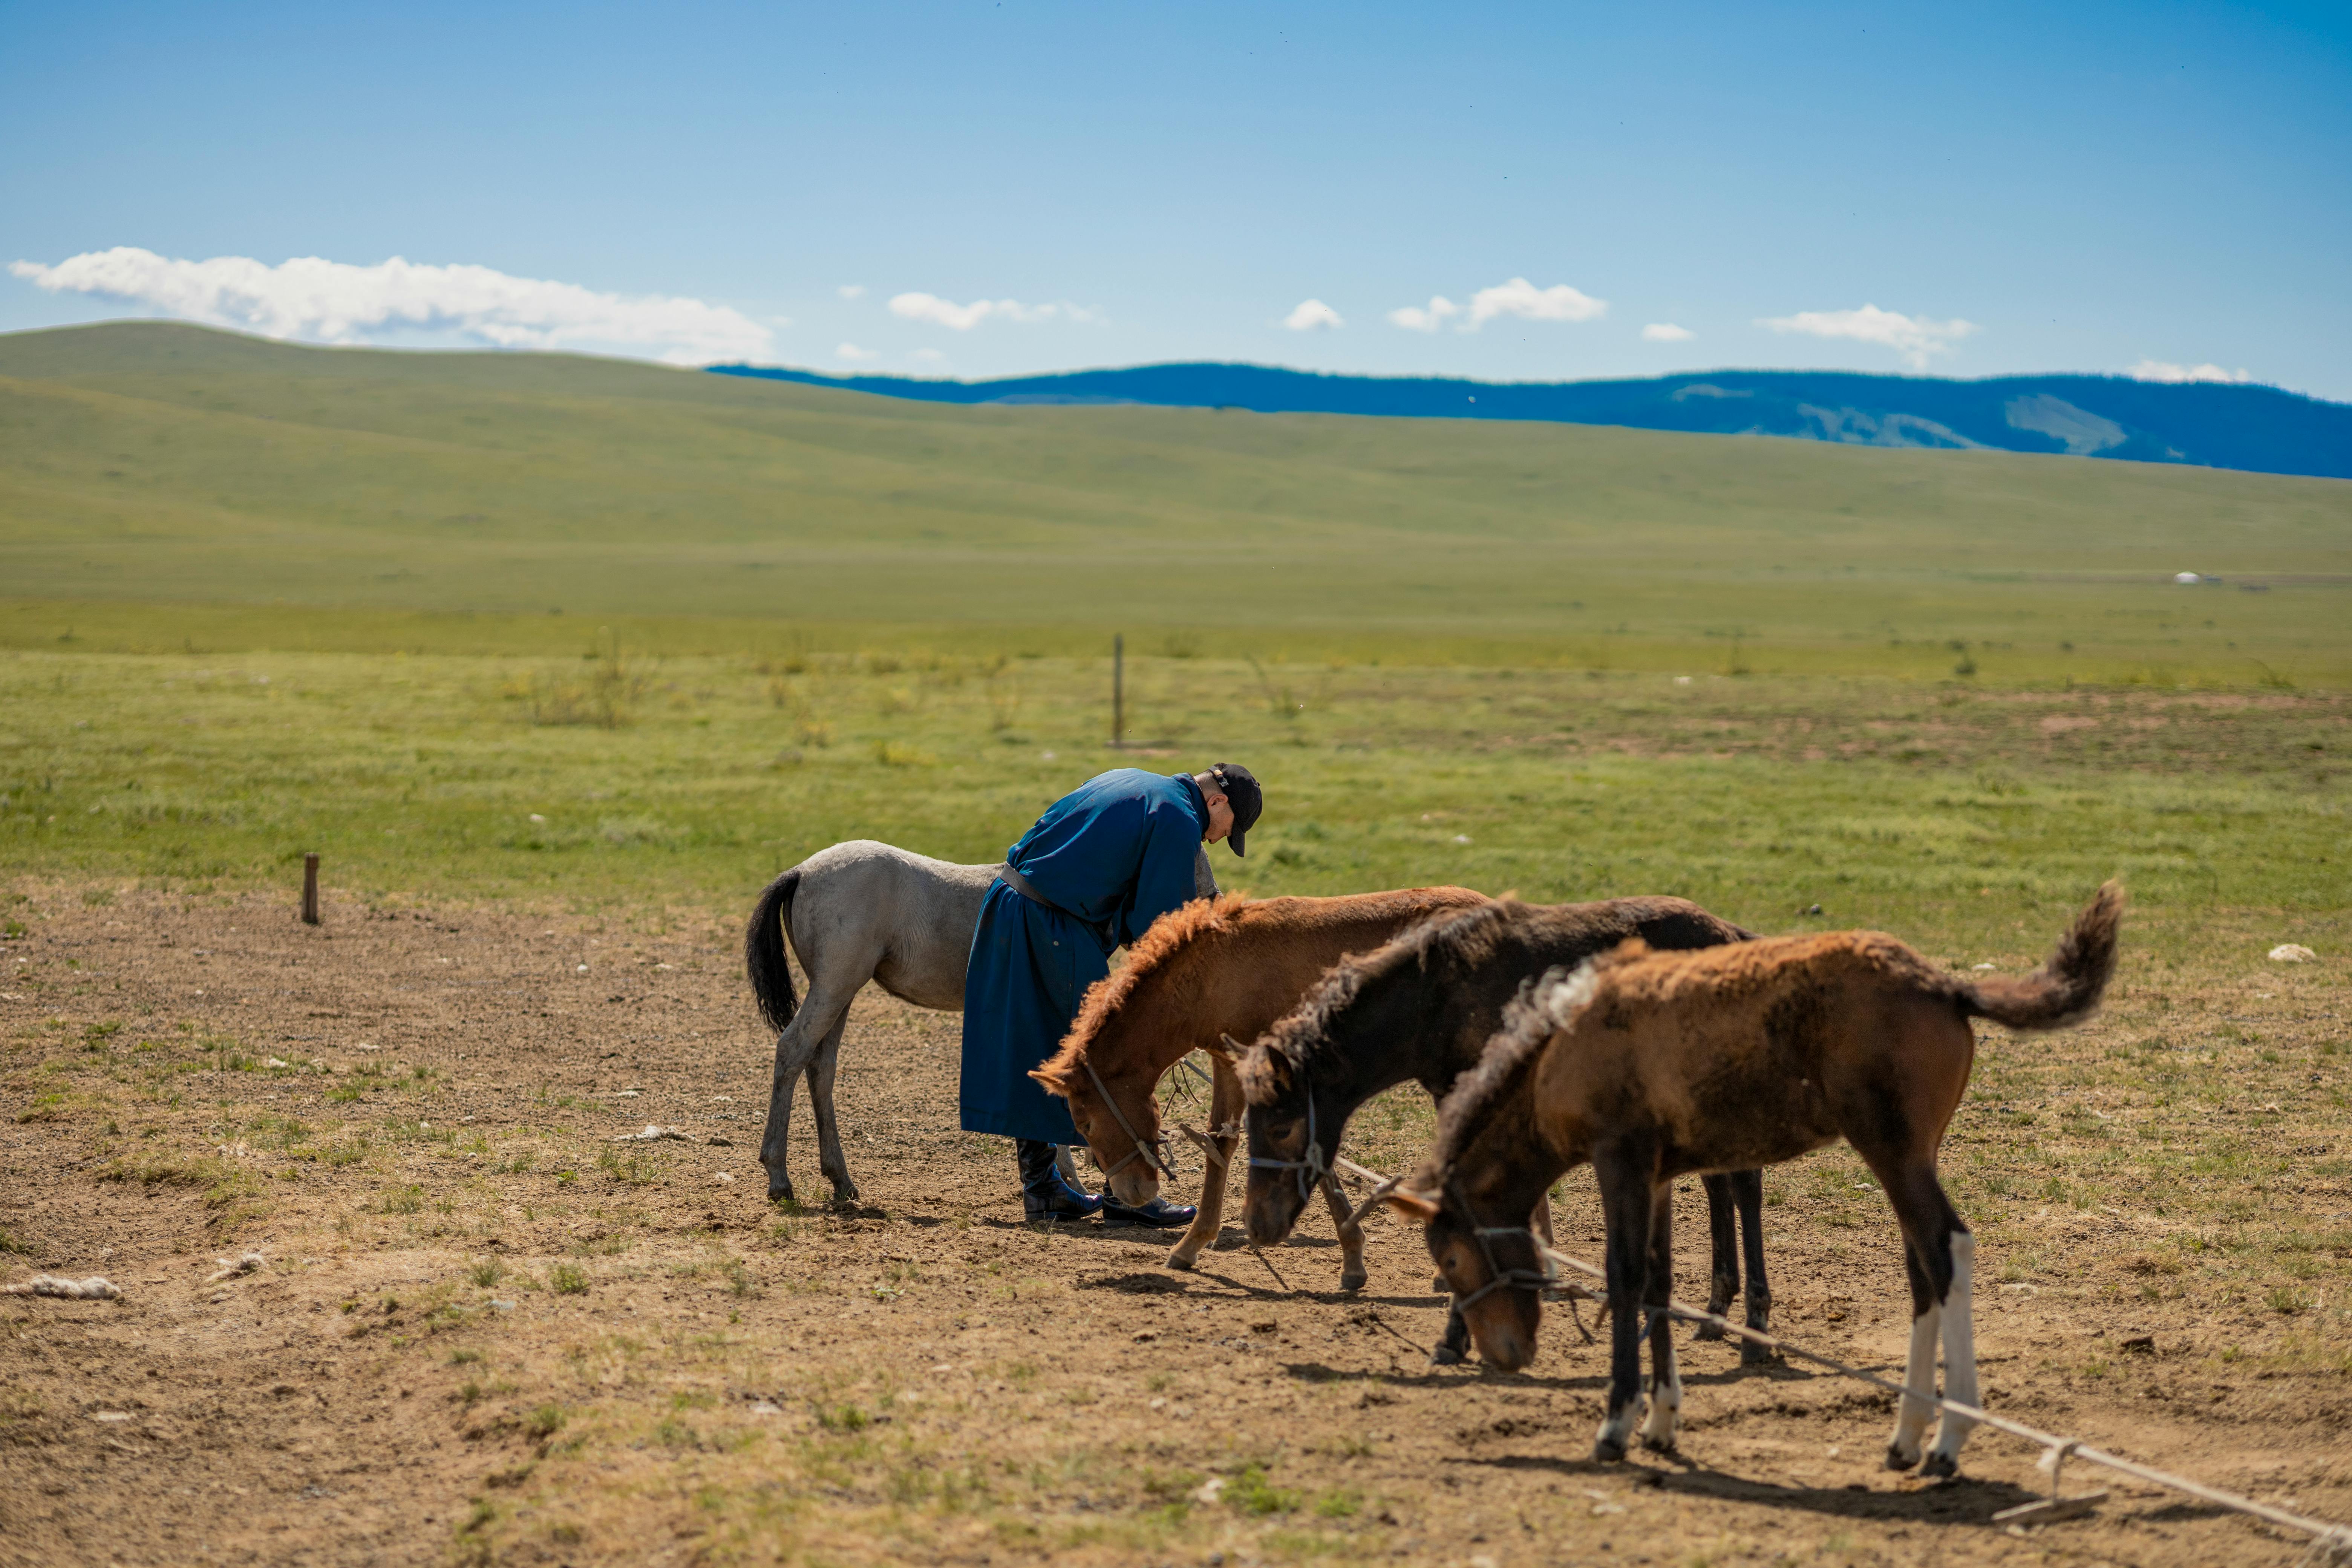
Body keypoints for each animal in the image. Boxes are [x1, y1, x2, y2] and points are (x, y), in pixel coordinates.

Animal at [738, 846, 1223, 1204]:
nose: (1214, 905)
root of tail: (802, 871)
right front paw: (1073, 1180)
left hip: (840, 994)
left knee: (820, 1067)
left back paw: (841, 1179)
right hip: (835, 987)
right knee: (792, 1051)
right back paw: (780, 1177)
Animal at [1025, 888, 1477, 1279]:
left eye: (1085, 1125)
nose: (1130, 1193)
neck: (1214, 974)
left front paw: (1352, 1253)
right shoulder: (1228, 1064)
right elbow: (1219, 1141)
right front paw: (1193, 1243)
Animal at [1232, 902, 1769, 1363]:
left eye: (1281, 1126)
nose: (1258, 1226)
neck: (1434, 998)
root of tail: (1731, 933)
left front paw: (1454, 1337)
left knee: (1744, 1184)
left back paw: (1755, 1329)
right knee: (1719, 1182)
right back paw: (1716, 1313)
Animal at [1383, 888, 2126, 1476]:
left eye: (1452, 1261)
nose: (1506, 1356)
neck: (1563, 1043)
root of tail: (1944, 984)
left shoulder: (1619, 1159)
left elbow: (1625, 1276)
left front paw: (1617, 1425)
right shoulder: (1657, 1175)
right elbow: (1659, 1281)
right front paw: (1662, 1421)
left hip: (1892, 1149)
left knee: (1947, 1249)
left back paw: (1947, 1441)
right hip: (1914, 1154)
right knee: (1922, 1265)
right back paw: (1907, 1438)